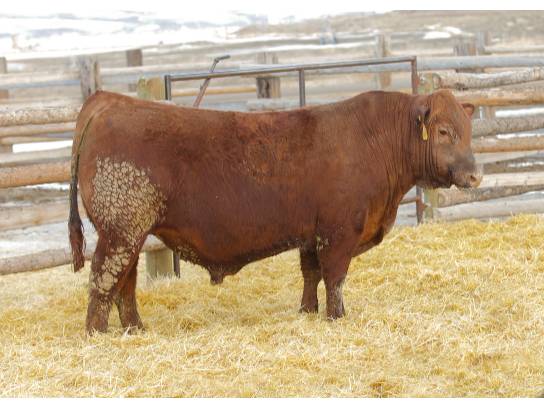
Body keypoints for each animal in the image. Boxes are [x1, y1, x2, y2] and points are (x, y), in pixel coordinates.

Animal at [68, 89, 481, 334]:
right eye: (444, 131)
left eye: (467, 130)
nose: (475, 174)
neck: (375, 139)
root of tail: (109, 100)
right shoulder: (338, 232)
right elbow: (335, 277)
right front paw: (337, 317)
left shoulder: (312, 234)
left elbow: (311, 274)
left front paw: (308, 311)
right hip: (121, 229)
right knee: (104, 279)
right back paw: (97, 334)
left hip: (130, 232)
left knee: (125, 282)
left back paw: (134, 329)